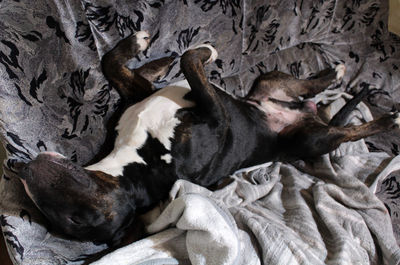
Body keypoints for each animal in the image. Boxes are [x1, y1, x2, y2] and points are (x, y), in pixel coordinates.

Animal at [16, 31, 400, 245]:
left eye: (78, 219)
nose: (23, 172)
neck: (137, 162)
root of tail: (304, 114)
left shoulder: (147, 97)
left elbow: (117, 62)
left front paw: (146, 49)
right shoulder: (214, 116)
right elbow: (189, 61)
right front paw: (198, 53)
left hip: (271, 82)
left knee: (308, 88)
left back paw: (335, 73)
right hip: (312, 140)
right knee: (345, 130)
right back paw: (386, 117)